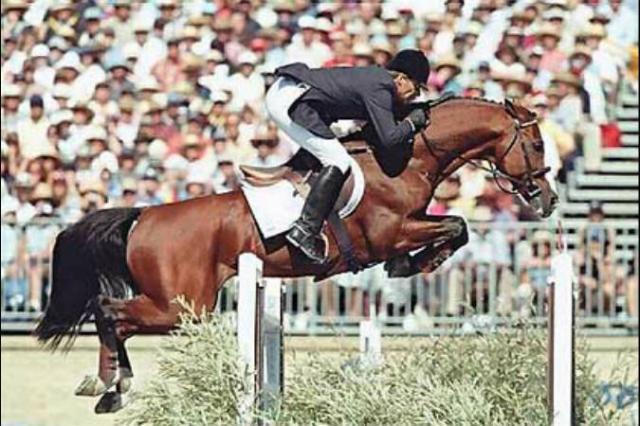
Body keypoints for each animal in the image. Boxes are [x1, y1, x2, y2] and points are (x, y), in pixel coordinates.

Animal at [34, 97, 557, 413]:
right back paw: (111, 387)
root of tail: (143, 215)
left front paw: (418, 263)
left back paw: (108, 388)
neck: (404, 156)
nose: (549, 200)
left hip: (181, 306)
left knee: (112, 318)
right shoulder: (391, 231)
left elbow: (457, 226)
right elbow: (456, 226)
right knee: (108, 311)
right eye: (534, 144)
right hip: (182, 307)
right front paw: (419, 263)